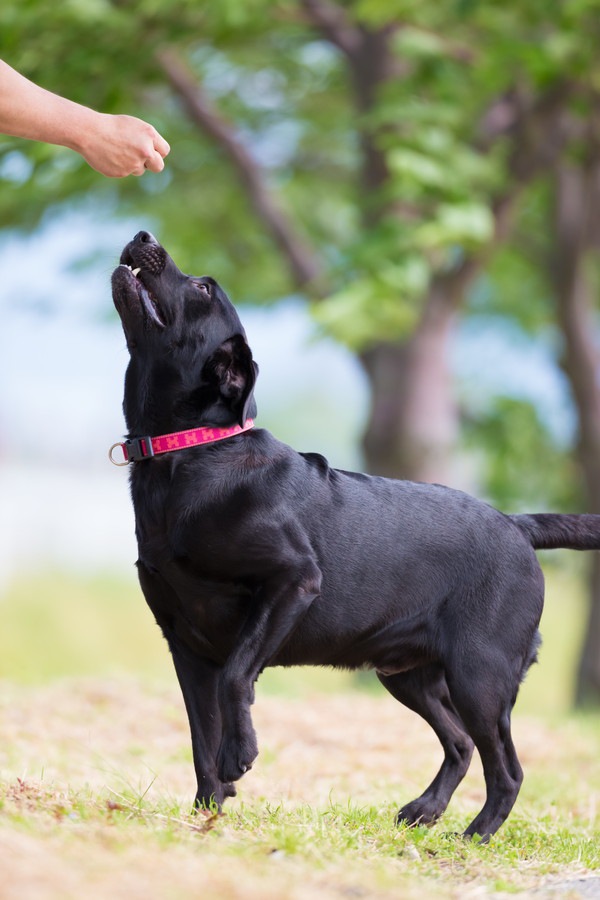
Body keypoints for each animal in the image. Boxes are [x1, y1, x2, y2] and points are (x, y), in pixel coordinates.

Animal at [111, 230, 600, 836]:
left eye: (202, 288)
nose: (143, 236)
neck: (191, 454)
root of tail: (516, 524)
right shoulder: (184, 641)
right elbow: (201, 736)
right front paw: (208, 813)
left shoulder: (292, 580)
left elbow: (236, 680)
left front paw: (239, 758)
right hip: (410, 675)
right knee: (461, 745)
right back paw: (422, 811)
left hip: (479, 675)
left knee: (506, 767)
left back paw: (475, 836)